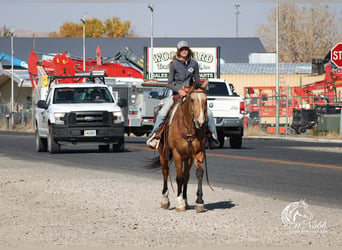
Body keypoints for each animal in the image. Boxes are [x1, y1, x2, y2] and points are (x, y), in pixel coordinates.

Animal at [149, 79, 208, 212]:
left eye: (206, 100)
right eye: (192, 100)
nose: (201, 123)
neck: (189, 128)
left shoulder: (198, 153)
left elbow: (198, 174)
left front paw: (199, 202)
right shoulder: (177, 154)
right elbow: (179, 177)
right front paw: (180, 203)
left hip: (188, 158)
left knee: (186, 175)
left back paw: (185, 200)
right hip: (163, 153)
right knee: (165, 172)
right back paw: (165, 200)